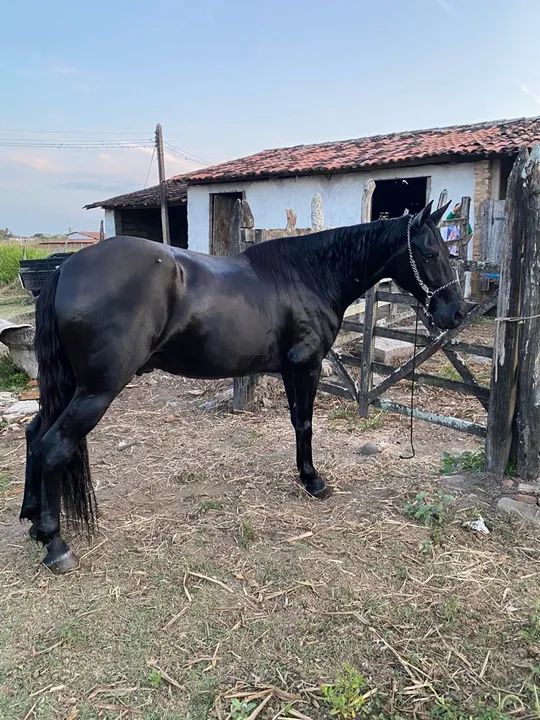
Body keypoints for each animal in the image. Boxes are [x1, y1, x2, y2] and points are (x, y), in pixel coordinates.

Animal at [20, 200, 463, 573]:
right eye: (429, 253)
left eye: (447, 251)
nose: (456, 313)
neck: (309, 275)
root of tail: (64, 270)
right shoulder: (305, 366)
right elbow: (305, 424)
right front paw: (313, 481)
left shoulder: (290, 369)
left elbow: (297, 423)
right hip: (97, 390)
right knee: (53, 445)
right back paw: (56, 546)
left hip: (71, 386)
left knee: (34, 434)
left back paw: (34, 521)